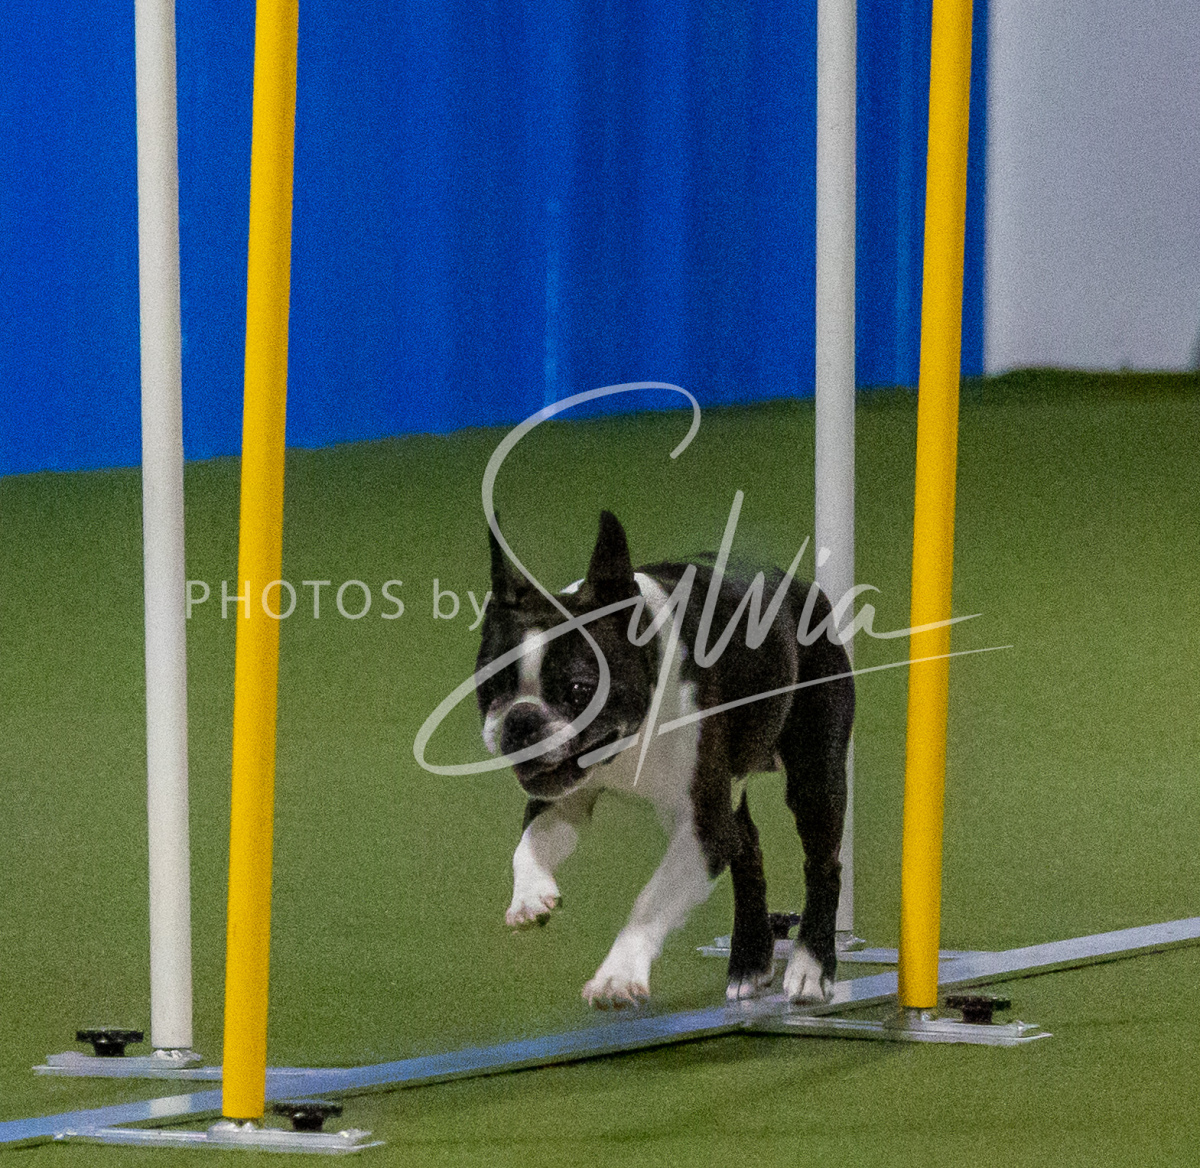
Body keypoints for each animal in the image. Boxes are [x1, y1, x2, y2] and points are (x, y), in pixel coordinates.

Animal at [476, 511, 853, 1008]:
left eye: (579, 690)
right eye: (489, 687)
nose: (521, 720)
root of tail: (799, 586)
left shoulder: (701, 829)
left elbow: (652, 899)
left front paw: (616, 976)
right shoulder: (565, 797)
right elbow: (531, 840)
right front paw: (530, 895)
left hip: (814, 773)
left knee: (823, 863)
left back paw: (812, 967)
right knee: (747, 850)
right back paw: (749, 961)